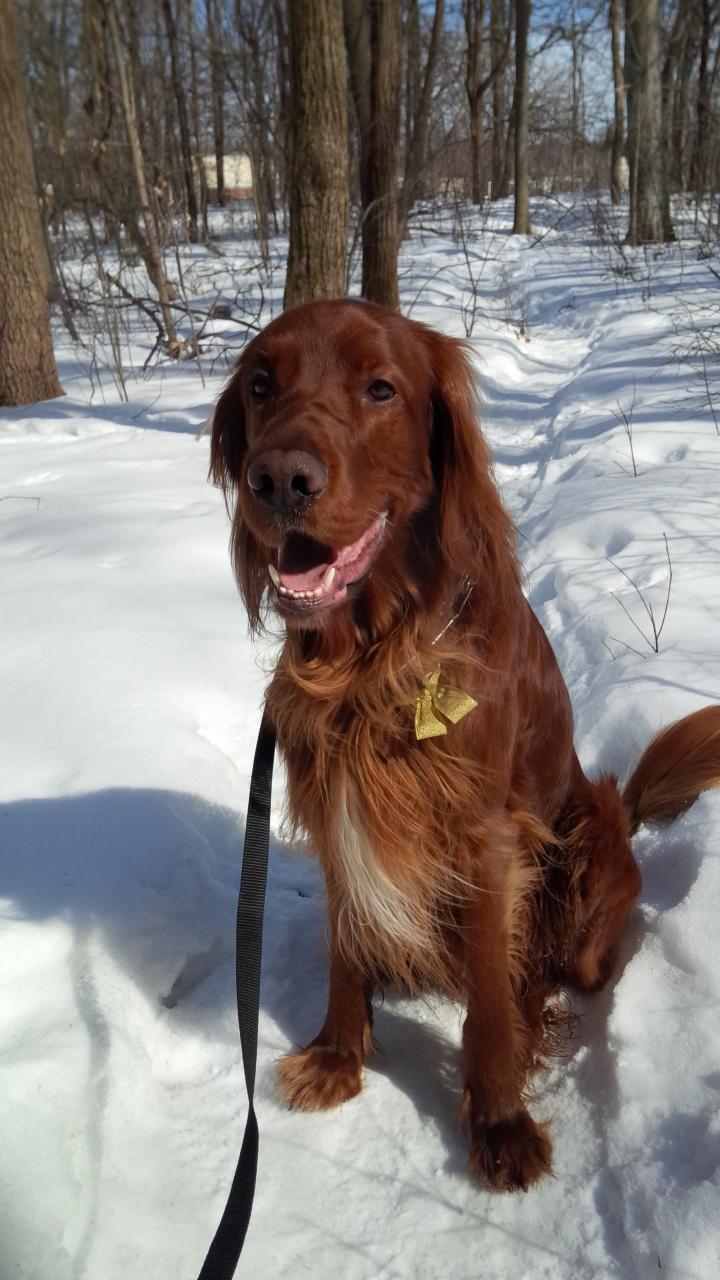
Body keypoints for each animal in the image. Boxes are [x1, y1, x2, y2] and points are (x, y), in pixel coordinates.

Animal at [210, 296, 717, 1187]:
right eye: (261, 385)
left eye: (381, 388)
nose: (279, 480)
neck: (369, 663)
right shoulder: (340, 814)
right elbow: (345, 951)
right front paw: (339, 1056)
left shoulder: (483, 838)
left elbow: (486, 995)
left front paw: (500, 1121)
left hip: (585, 843)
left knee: (571, 964)